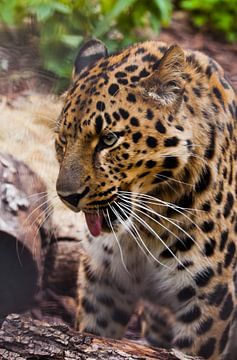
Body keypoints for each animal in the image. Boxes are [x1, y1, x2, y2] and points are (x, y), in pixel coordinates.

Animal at [54, 38, 237, 358]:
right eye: (62, 140)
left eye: (109, 139)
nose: (67, 196)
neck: (146, 227)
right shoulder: (104, 281)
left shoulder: (210, 298)